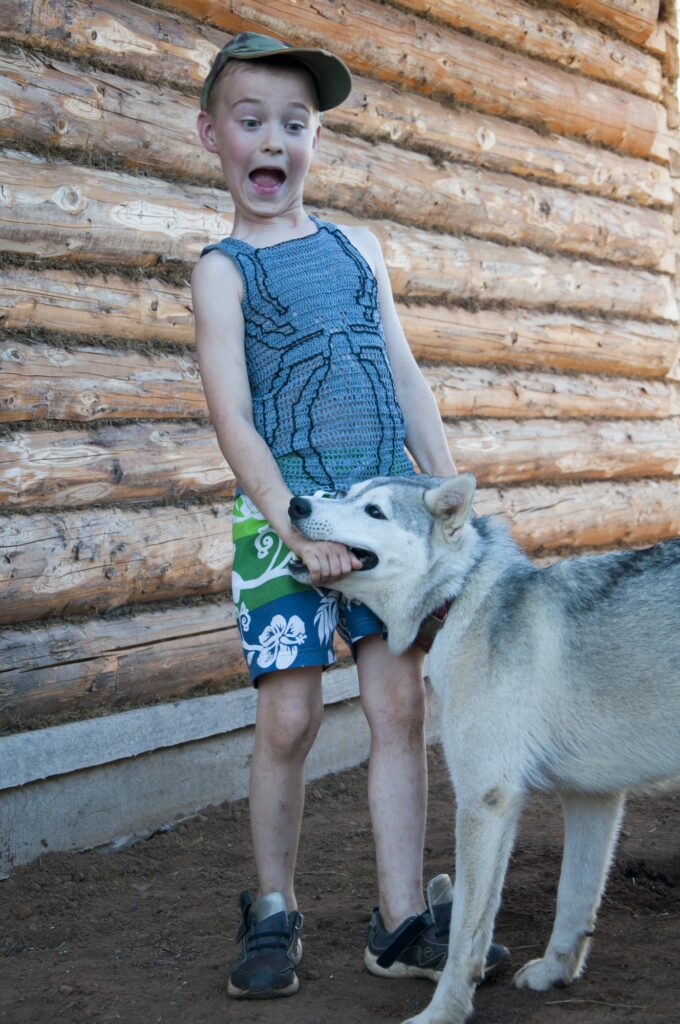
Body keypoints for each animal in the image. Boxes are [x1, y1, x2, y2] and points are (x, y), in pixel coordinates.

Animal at [288, 475, 680, 1024]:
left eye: (374, 511)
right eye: (345, 493)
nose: (295, 504)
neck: (458, 598)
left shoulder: (484, 801)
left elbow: (464, 935)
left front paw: (443, 1012)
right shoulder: (592, 798)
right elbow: (573, 898)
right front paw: (554, 973)